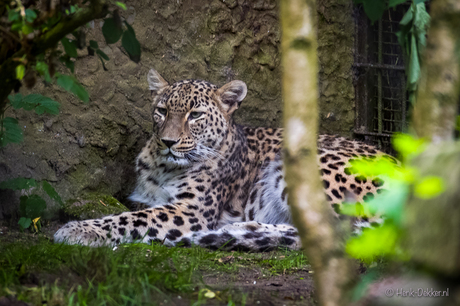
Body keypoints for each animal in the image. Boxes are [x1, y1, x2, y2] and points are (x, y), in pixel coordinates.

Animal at [54, 68, 398, 250]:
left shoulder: (189, 212)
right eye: (161, 111)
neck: (164, 167)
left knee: (332, 234)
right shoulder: (144, 197)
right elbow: (131, 210)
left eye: (195, 115)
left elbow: (128, 219)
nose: (167, 141)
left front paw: (79, 230)